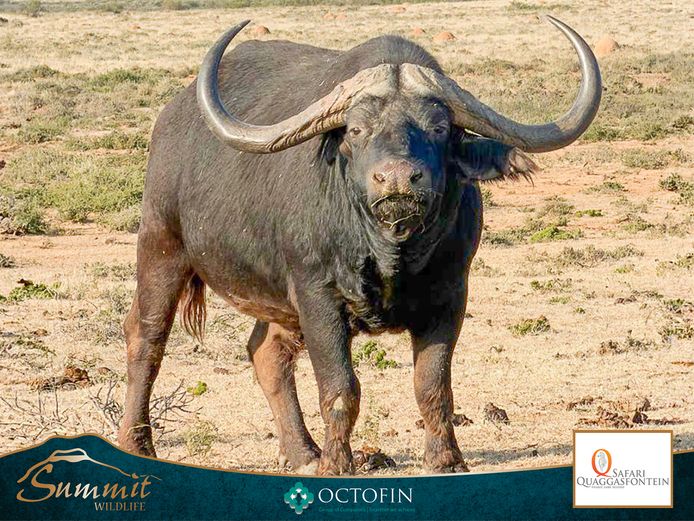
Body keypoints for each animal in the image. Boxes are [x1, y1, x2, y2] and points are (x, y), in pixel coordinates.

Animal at [117, 16, 601, 475]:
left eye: (439, 127)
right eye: (355, 129)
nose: (399, 178)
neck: (391, 251)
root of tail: (172, 117)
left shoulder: (450, 296)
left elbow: (432, 386)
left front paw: (446, 459)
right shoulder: (317, 296)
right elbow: (340, 389)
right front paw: (337, 463)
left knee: (266, 351)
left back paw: (303, 452)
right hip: (161, 246)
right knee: (146, 337)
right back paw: (138, 443)